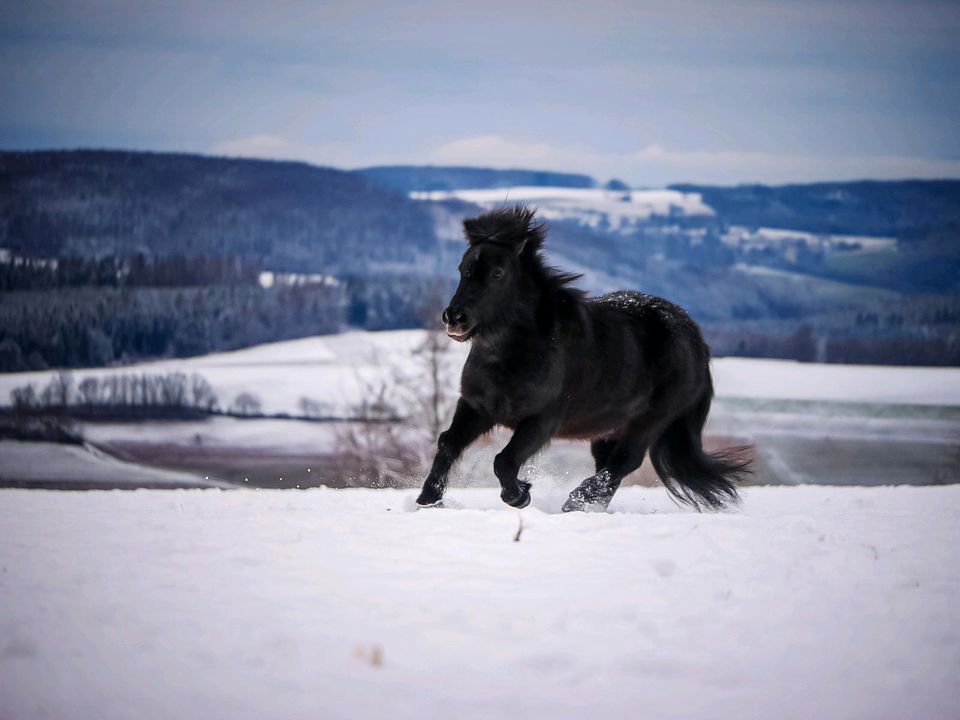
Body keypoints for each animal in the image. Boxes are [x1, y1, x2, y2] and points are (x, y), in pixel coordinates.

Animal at [416, 204, 748, 512]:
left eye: (497, 273)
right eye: (462, 269)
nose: (454, 318)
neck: (512, 354)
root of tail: (697, 341)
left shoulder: (541, 420)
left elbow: (504, 461)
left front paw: (521, 495)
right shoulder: (477, 407)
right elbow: (448, 442)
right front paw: (428, 500)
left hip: (650, 421)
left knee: (624, 461)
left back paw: (576, 502)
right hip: (609, 428)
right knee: (609, 464)